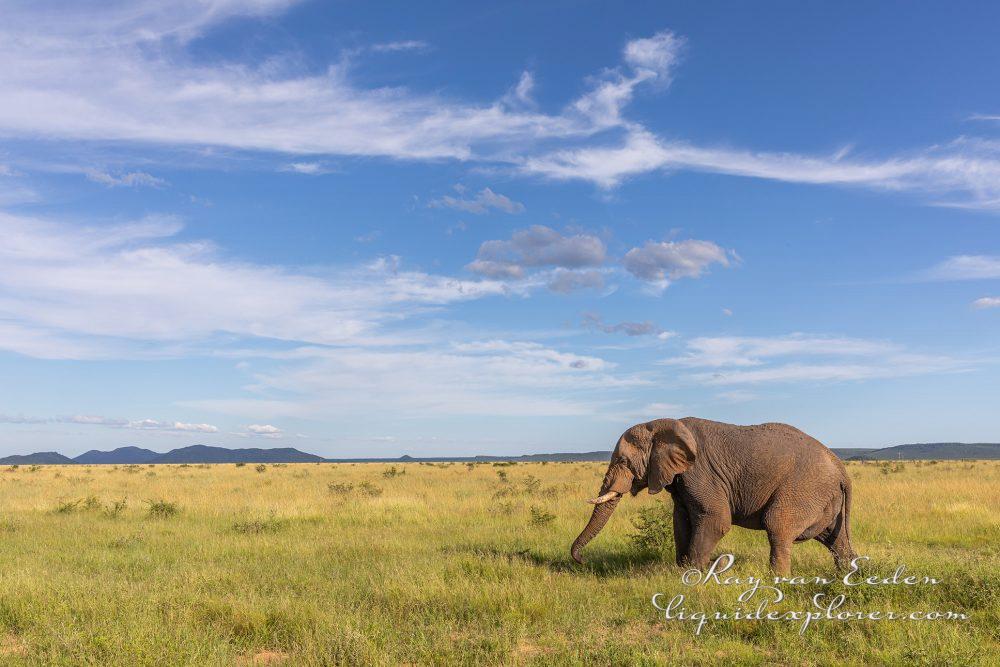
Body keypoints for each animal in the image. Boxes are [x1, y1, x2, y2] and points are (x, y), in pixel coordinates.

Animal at [576, 418, 856, 576]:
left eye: (623, 461)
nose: (581, 560)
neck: (660, 424)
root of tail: (842, 469)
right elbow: (681, 522)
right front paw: (685, 569)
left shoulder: (701, 472)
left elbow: (716, 520)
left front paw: (694, 575)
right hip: (823, 498)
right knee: (834, 539)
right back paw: (849, 576)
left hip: (805, 488)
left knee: (777, 526)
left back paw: (778, 580)